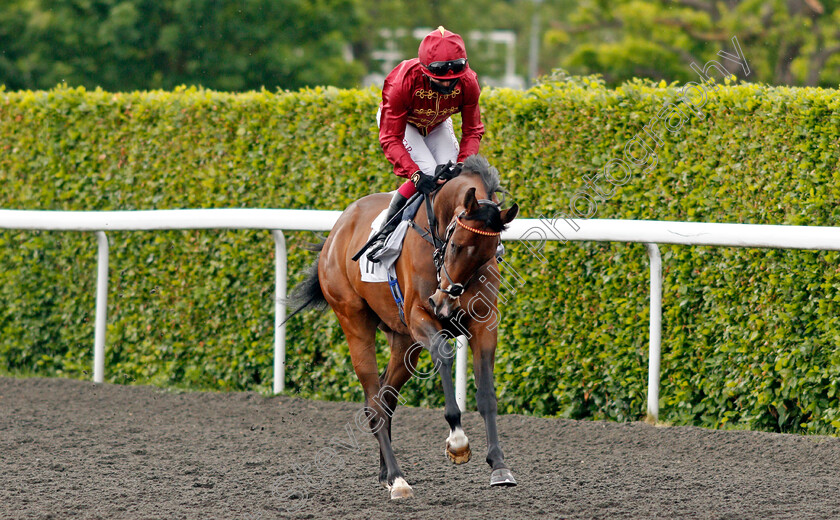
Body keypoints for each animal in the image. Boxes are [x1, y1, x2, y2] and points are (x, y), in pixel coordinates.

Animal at [288, 155, 520, 500]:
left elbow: (487, 394)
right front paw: (457, 441)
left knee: (385, 397)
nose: (444, 300)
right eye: (456, 245)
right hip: (355, 322)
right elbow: (443, 354)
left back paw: (386, 473)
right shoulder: (419, 316)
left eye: (488, 254)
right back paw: (398, 479)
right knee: (373, 401)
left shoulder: (484, 324)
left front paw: (499, 465)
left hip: (403, 341)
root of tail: (335, 232)